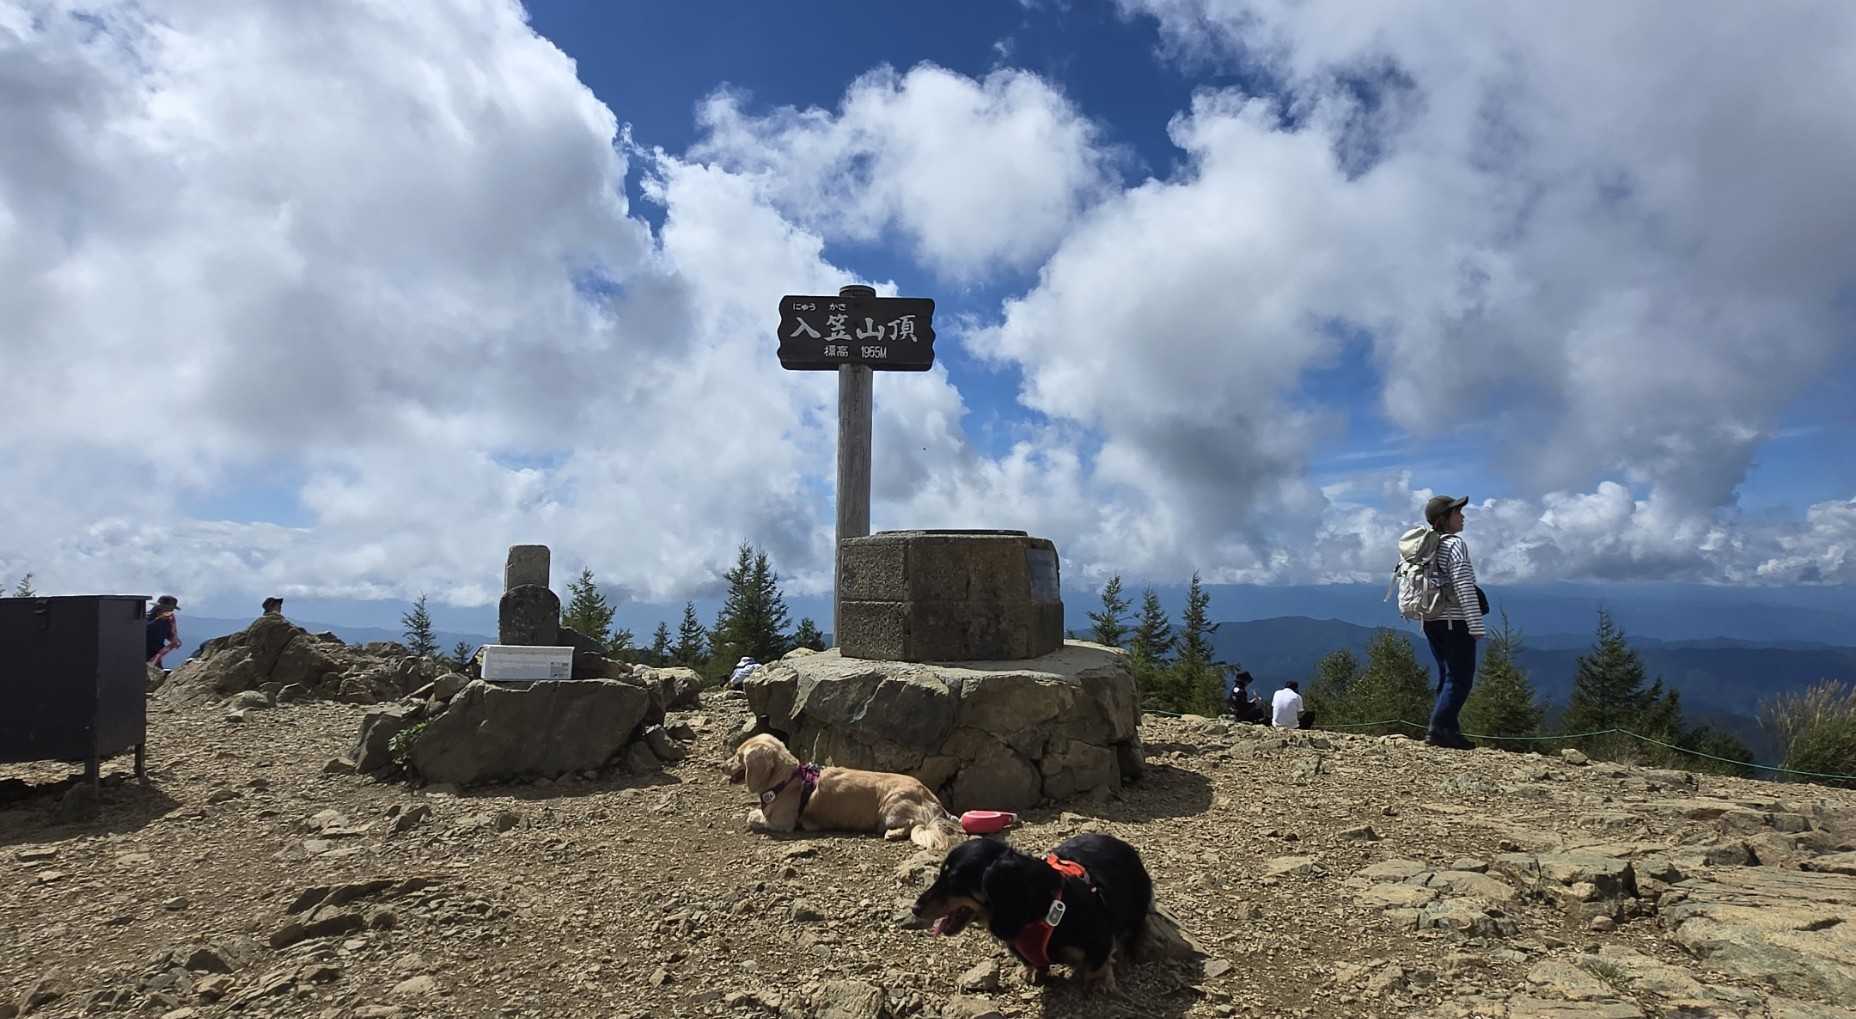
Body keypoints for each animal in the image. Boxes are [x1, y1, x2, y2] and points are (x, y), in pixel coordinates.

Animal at [725, 734, 964, 851]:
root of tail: (931, 798)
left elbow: (753, 816)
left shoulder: (781, 824)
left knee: (913, 824)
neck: (787, 778)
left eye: (738, 756)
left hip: (890, 809)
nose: (721, 766)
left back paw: (892, 833)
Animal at [913, 832, 1153, 992]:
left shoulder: (1099, 940)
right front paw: (1032, 971)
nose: (915, 909)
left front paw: (1099, 982)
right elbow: (1031, 961)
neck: (1038, 912)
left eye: (953, 878)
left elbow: (1097, 964)